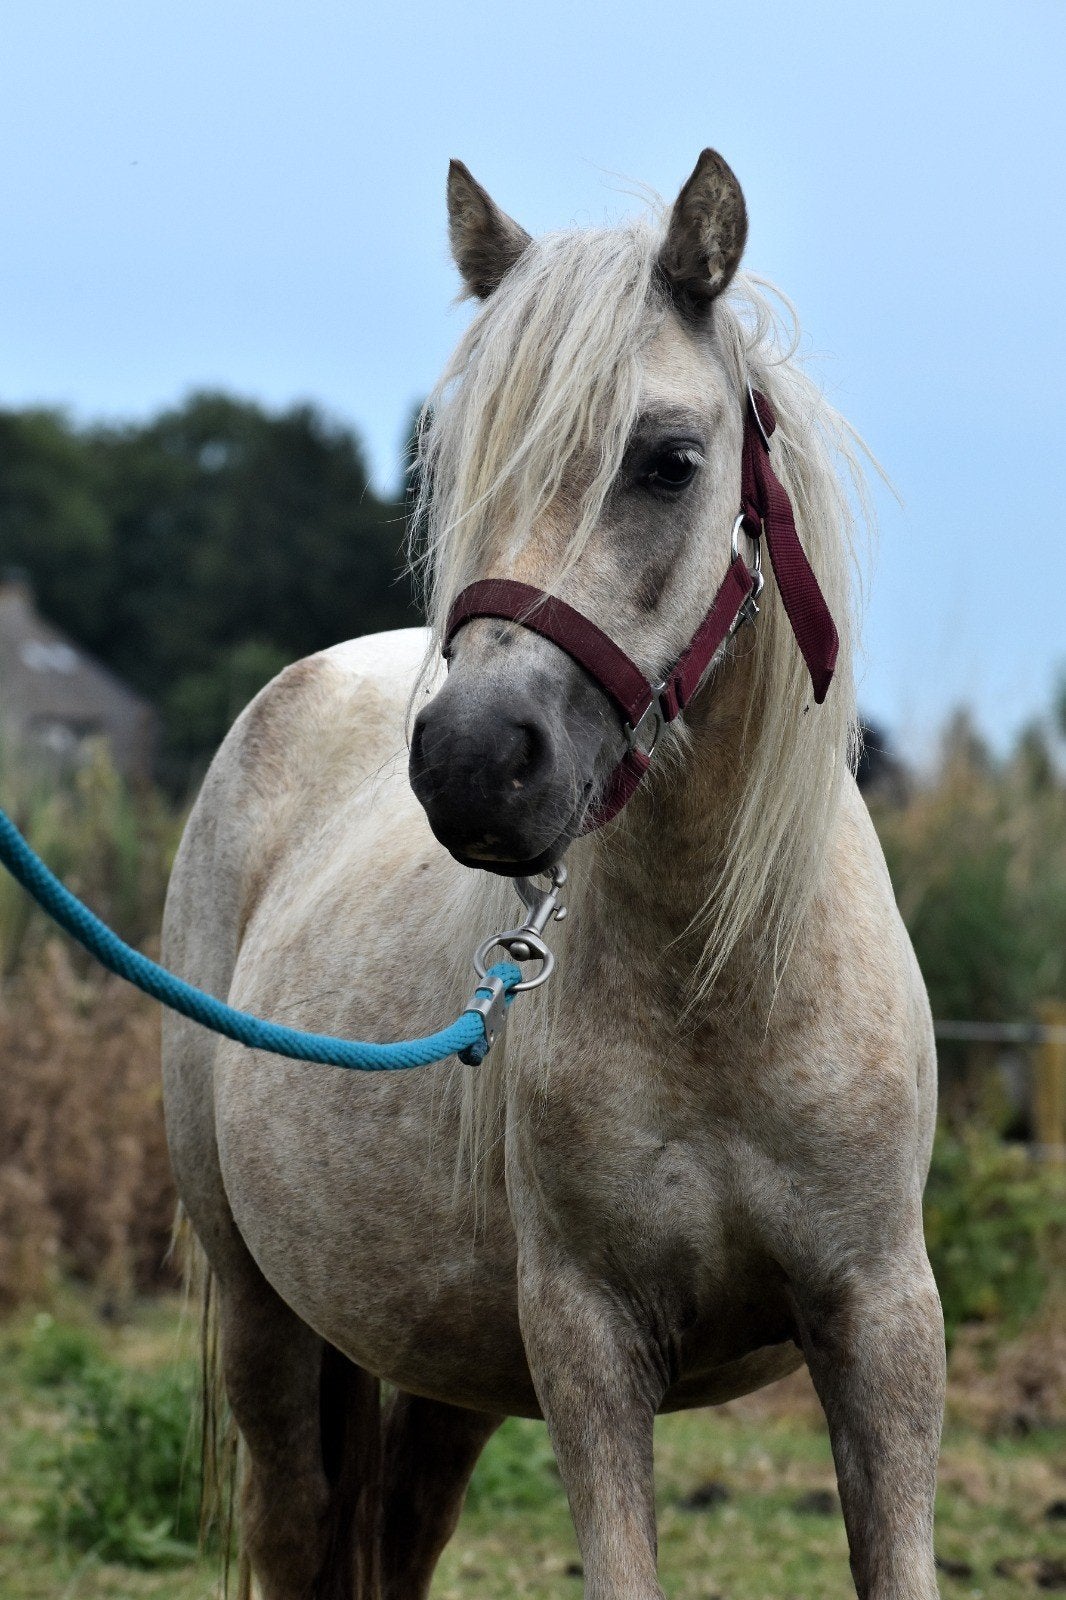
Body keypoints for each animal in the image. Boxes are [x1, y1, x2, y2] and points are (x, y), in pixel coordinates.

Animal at [162, 148, 945, 1600]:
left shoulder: (878, 1319)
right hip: (263, 1313)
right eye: (461, 457)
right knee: (297, 1528)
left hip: (444, 1359)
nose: (472, 762)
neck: (722, 984)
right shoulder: (590, 1338)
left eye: (669, 461)